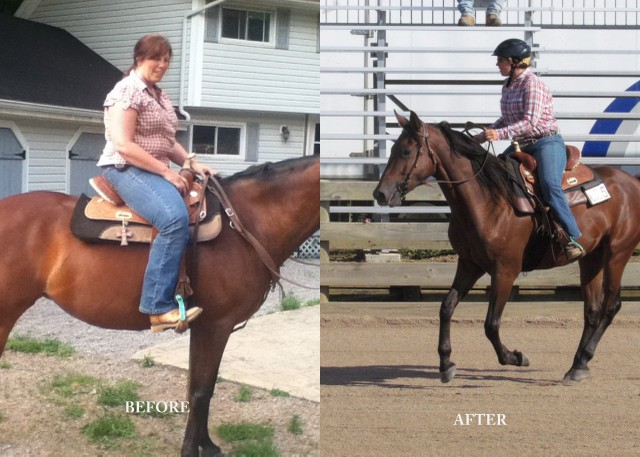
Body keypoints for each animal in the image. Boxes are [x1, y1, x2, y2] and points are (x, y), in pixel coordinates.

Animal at [0, 155, 318, 454]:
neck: (243, 224)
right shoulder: (215, 325)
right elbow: (201, 391)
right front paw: (191, 450)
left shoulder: (205, 326)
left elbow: (200, 387)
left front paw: (207, 444)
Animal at [372, 112, 640, 382]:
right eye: (392, 148)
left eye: (406, 151)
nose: (380, 194)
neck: (486, 200)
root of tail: (632, 181)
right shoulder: (469, 264)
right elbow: (446, 307)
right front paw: (446, 363)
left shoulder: (505, 270)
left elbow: (491, 324)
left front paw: (516, 357)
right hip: (592, 257)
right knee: (592, 311)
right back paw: (578, 365)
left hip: (617, 252)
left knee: (610, 306)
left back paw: (582, 358)